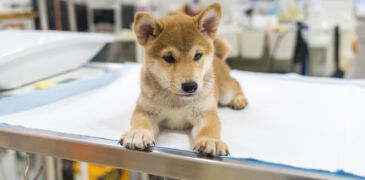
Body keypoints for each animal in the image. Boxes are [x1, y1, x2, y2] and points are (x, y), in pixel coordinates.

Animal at [120, 2, 247, 156]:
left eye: (198, 55)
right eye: (168, 58)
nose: (190, 86)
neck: (177, 102)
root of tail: (218, 57)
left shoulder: (205, 114)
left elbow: (209, 128)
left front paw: (211, 141)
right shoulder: (145, 111)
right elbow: (140, 123)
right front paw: (138, 134)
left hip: (225, 92)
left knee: (236, 83)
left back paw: (239, 100)